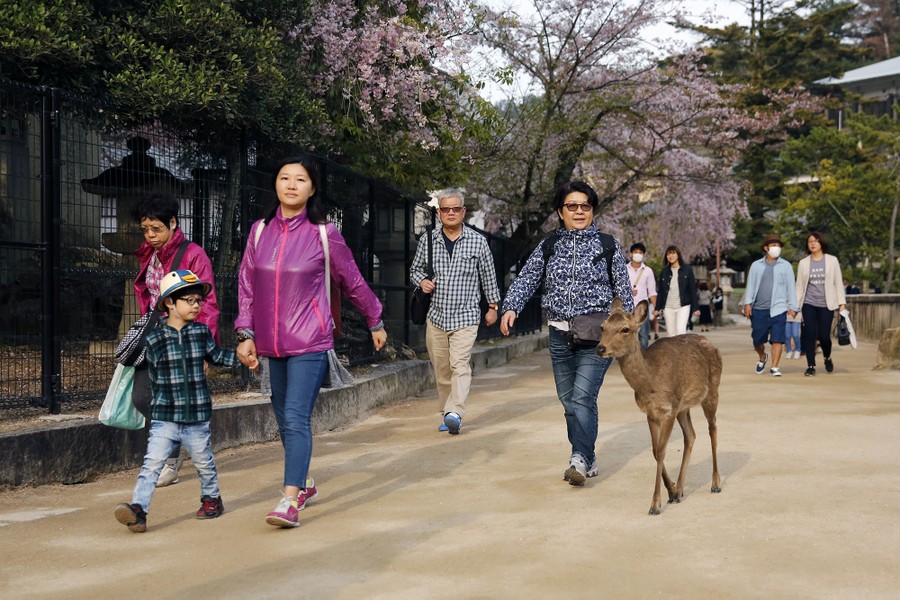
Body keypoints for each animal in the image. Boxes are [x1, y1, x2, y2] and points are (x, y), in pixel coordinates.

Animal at [596, 298, 724, 512]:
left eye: (625, 329)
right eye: (602, 327)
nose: (600, 348)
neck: (650, 383)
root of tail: (712, 344)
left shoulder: (668, 409)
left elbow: (662, 450)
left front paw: (655, 504)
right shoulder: (651, 413)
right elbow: (656, 451)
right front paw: (671, 491)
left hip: (712, 390)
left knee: (713, 428)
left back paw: (715, 483)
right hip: (683, 406)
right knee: (691, 435)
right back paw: (680, 490)